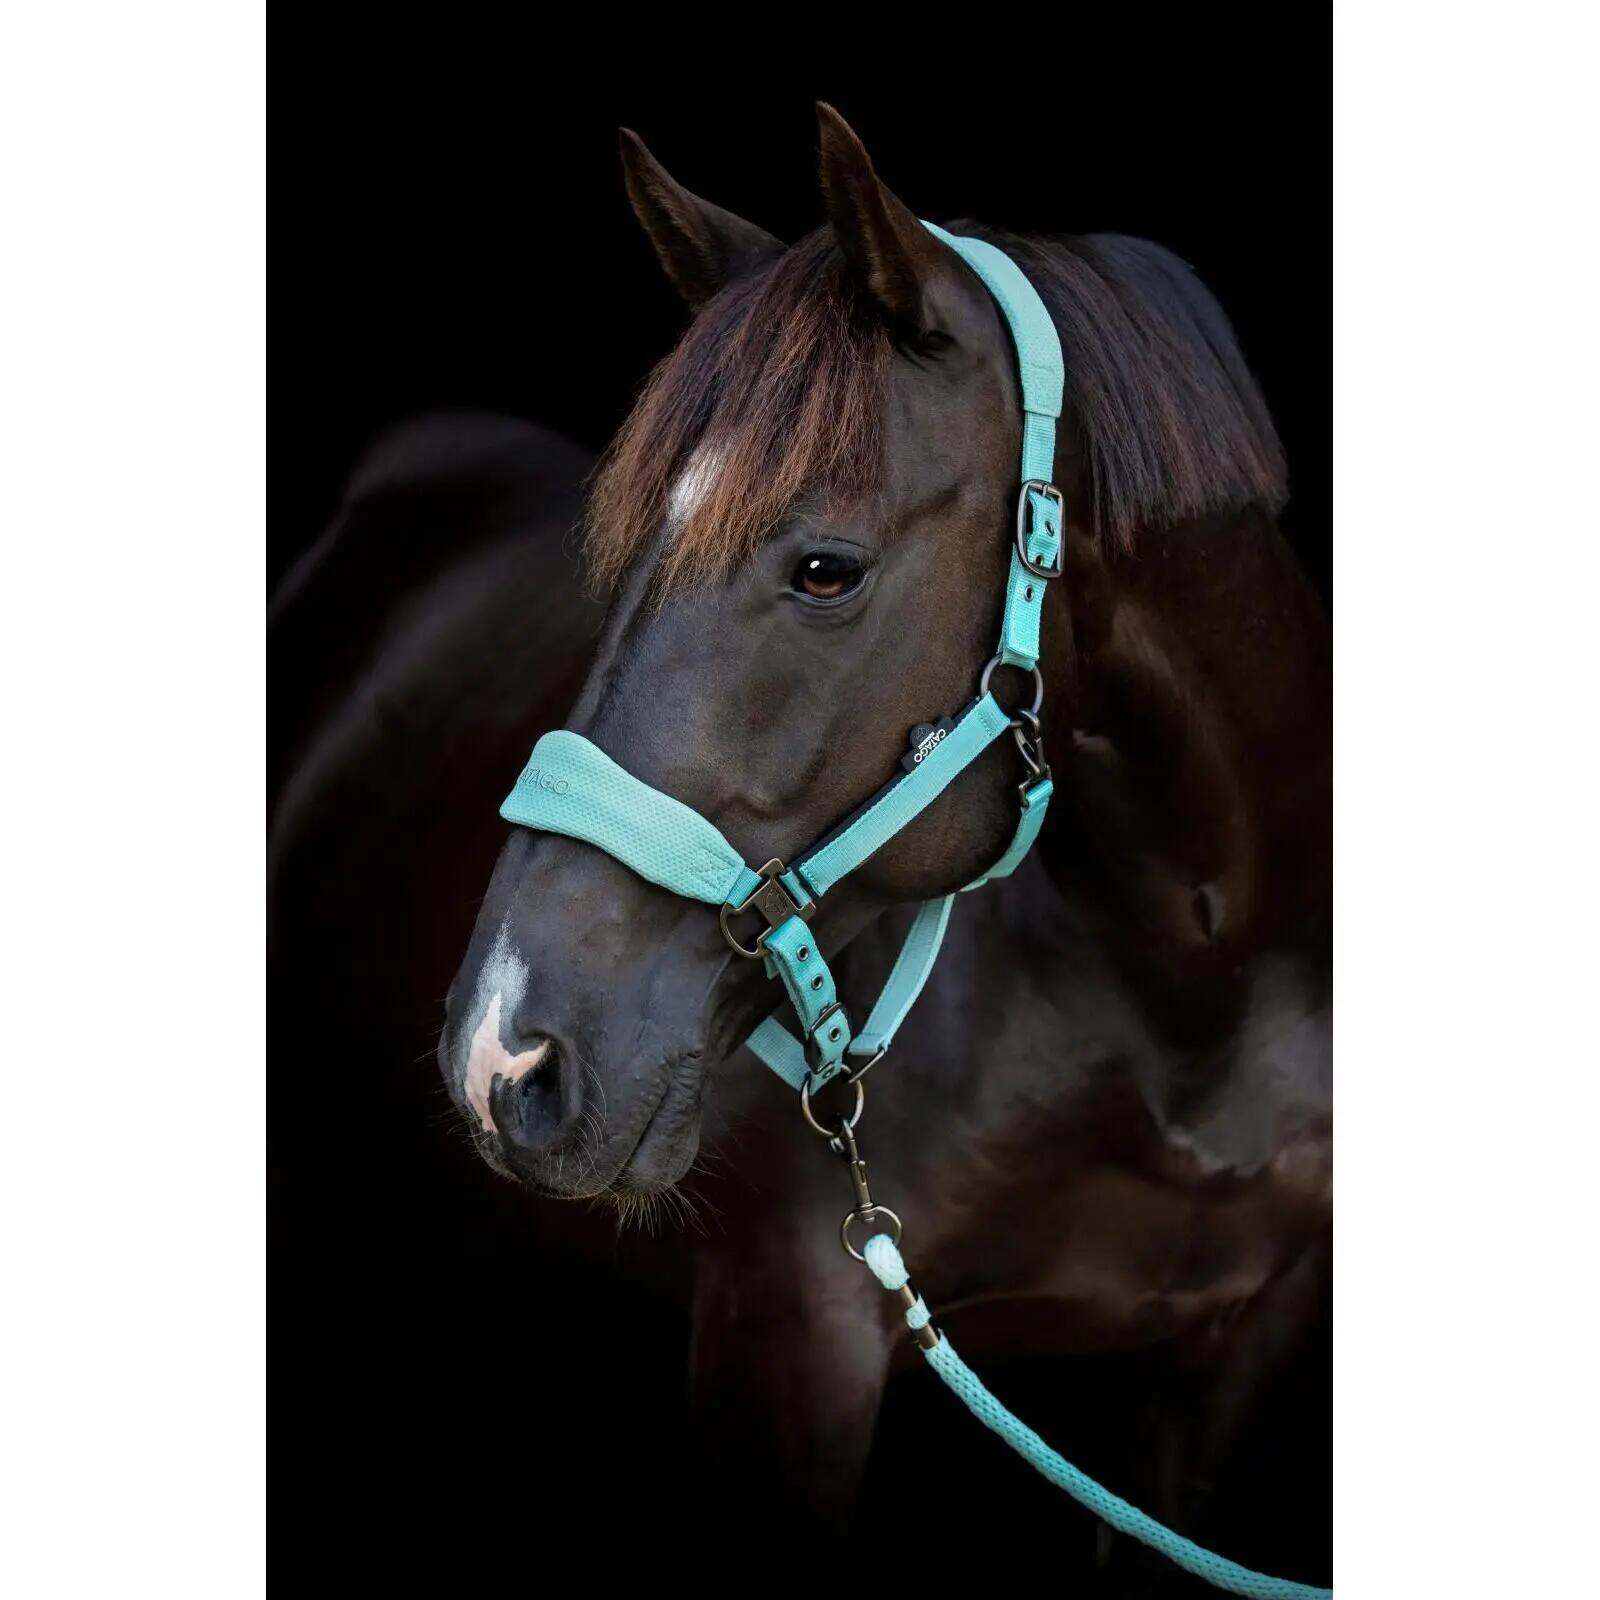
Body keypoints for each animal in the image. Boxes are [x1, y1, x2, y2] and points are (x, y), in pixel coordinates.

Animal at [419, 106, 1327, 1592]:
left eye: (825, 570)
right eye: (620, 555)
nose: (503, 1055)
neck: (1187, 986)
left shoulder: (1240, 1347)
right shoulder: (791, 1344)